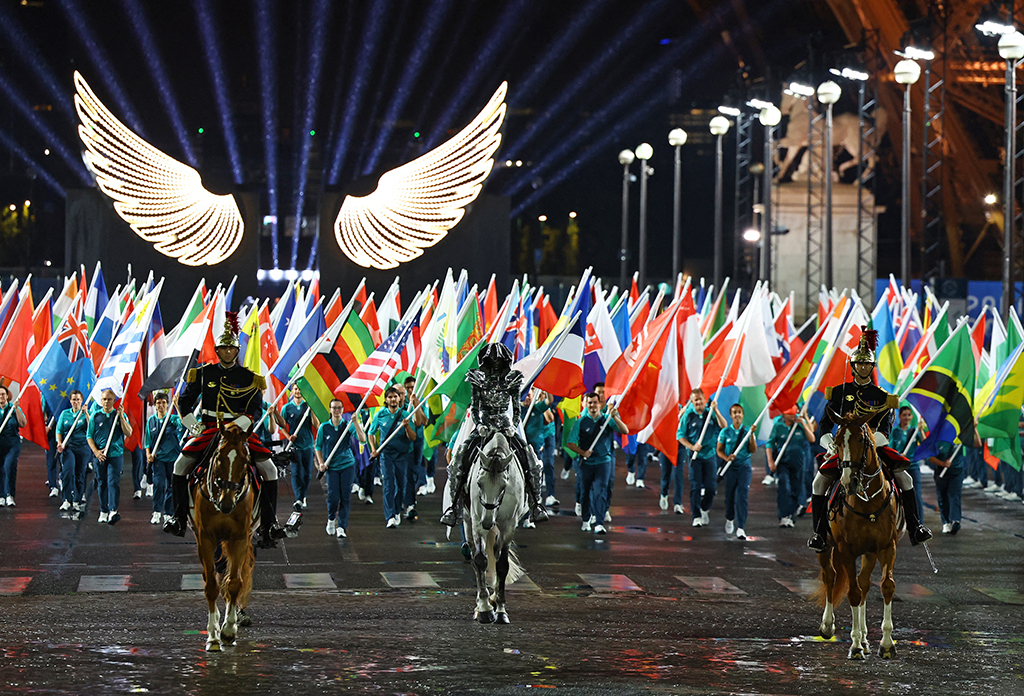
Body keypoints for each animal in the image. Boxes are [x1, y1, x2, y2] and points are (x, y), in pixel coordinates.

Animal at [192, 421, 256, 655]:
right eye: (219, 457)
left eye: (245, 461)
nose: (226, 503)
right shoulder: (205, 538)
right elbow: (211, 586)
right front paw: (212, 637)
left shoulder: (240, 538)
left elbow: (235, 583)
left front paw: (228, 631)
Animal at [464, 427, 528, 622]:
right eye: (479, 483)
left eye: (503, 486)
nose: (487, 522)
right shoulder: (477, 521)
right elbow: (480, 560)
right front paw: (485, 609)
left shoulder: (509, 525)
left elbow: (502, 565)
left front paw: (500, 610)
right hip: (467, 521)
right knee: (474, 557)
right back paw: (480, 605)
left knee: (496, 551)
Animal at [811, 411, 901, 659]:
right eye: (838, 441)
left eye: (862, 440)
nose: (847, 481)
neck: (868, 501)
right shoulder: (846, 550)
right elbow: (852, 592)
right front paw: (855, 645)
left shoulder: (886, 547)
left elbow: (886, 586)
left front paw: (886, 644)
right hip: (826, 547)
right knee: (830, 576)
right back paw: (828, 626)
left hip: (869, 553)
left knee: (864, 583)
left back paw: (865, 637)